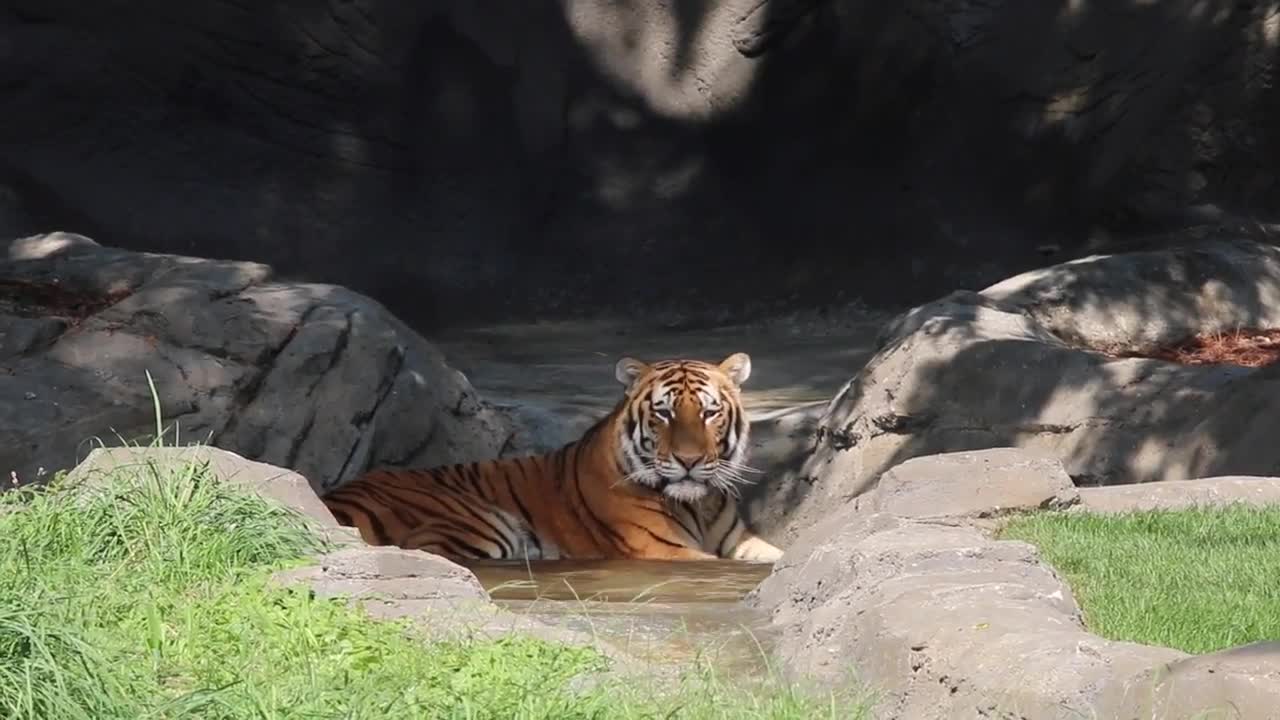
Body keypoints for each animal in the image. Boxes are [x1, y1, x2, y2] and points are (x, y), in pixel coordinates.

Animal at [320, 351, 778, 561]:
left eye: (709, 413)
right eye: (663, 413)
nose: (688, 461)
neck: (699, 504)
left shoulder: (740, 541)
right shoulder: (662, 550)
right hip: (480, 521)